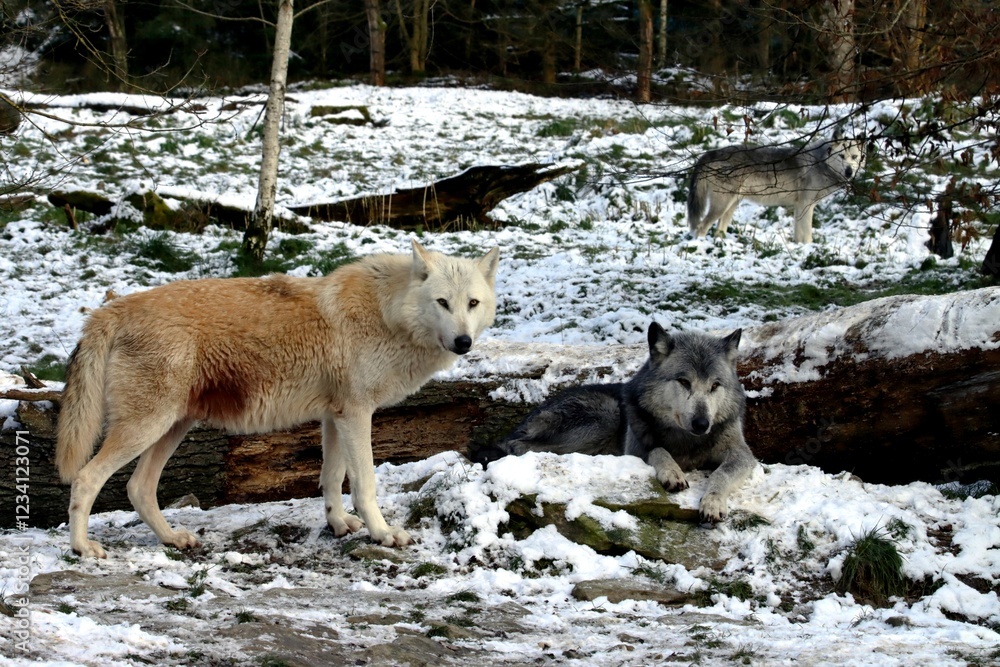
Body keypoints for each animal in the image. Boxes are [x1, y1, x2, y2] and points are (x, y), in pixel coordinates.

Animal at [56, 239, 500, 558]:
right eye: (442, 302)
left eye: (472, 303)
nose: (463, 342)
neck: (387, 313)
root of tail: (109, 310)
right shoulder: (357, 414)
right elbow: (365, 484)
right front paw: (384, 533)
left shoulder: (335, 416)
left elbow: (331, 479)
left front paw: (338, 526)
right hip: (147, 427)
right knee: (86, 479)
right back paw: (83, 549)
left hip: (171, 427)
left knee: (138, 489)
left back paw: (172, 539)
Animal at [480, 324, 756, 522]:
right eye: (684, 382)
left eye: (715, 385)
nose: (702, 423)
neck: (687, 440)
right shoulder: (635, 448)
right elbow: (659, 450)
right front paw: (673, 473)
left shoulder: (742, 453)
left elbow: (721, 473)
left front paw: (713, 503)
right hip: (607, 414)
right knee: (520, 446)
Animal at [687, 128, 865, 243]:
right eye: (841, 156)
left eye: (854, 157)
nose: (849, 171)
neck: (820, 163)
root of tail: (711, 152)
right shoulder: (805, 206)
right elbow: (807, 236)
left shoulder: (799, 208)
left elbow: (798, 235)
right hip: (722, 205)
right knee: (701, 228)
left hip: (731, 205)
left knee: (719, 231)